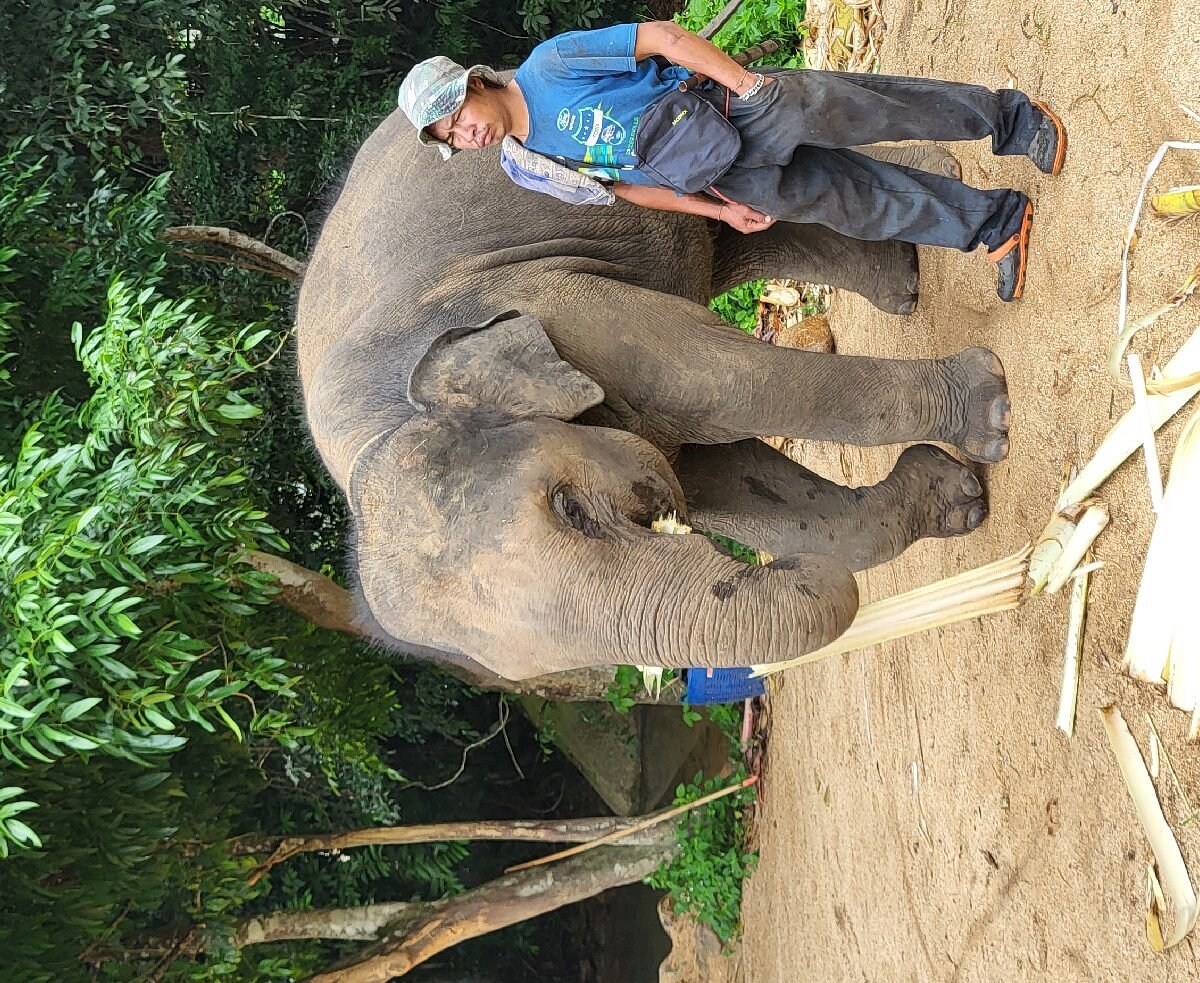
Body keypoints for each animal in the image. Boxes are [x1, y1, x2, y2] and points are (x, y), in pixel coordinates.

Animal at [295, 103, 1008, 681]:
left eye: (570, 510)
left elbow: (713, 380)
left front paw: (990, 415)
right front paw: (955, 498)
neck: (392, 418)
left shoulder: (548, 296)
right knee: (729, 242)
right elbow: (725, 480)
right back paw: (900, 281)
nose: (774, 566)